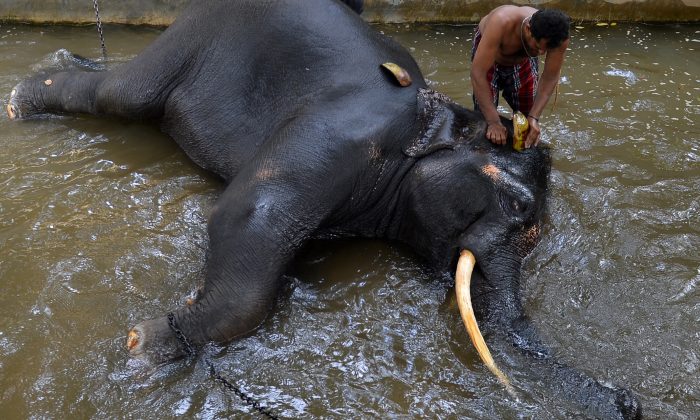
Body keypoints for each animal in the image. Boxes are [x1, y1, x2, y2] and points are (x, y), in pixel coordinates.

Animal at [4, 0, 640, 418]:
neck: (437, 117)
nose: (630, 402)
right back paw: (22, 101)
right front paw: (149, 343)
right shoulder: (338, 135)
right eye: (516, 203)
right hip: (193, 37)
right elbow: (250, 211)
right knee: (121, 96)